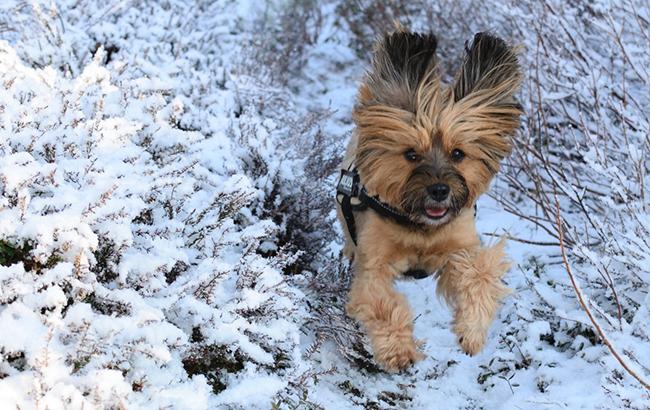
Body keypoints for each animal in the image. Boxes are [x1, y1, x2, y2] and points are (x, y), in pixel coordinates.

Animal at [334, 26, 520, 372]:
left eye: (458, 154)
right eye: (411, 154)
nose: (439, 190)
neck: (419, 225)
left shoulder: (459, 247)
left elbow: (479, 274)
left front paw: (471, 330)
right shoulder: (374, 264)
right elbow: (381, 302)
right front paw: (398, 350)